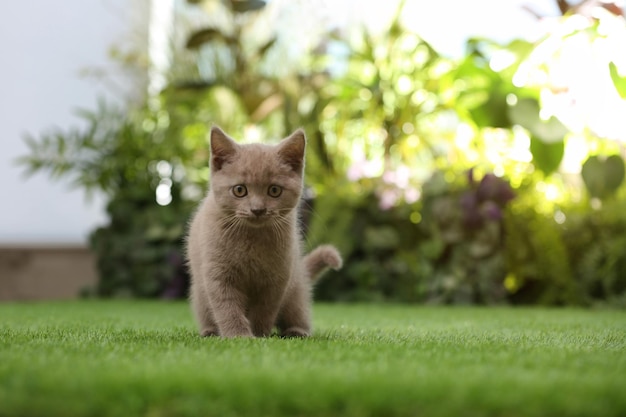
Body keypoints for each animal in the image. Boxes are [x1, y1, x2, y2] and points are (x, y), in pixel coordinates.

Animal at [185, 125, 342, 336]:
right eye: (239, 190)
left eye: (274, 190)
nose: (257, 209)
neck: (252, 238)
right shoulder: (217, 273)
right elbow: (226, 306)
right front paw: (239, 334)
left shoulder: (277, 278)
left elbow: (265, 309)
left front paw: (259, 334)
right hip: (200, 295)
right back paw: (210, 332)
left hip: (296, 291)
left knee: (298, 312)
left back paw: (296, 332)